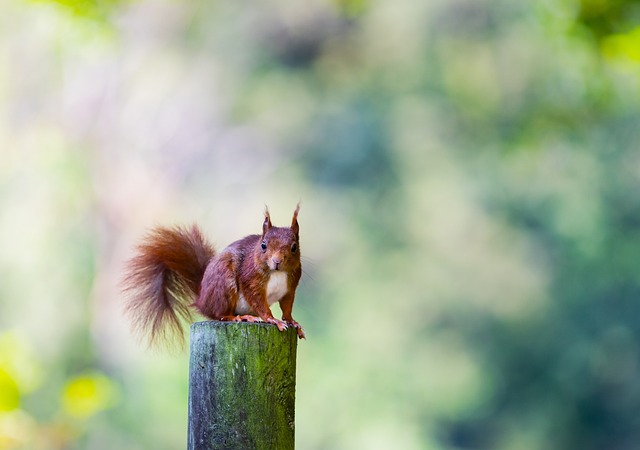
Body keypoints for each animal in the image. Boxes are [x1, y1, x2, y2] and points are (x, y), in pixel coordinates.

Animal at [125, 206, 308, 346]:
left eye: (294, 247)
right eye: (263, 245)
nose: (277, 261)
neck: (277, 273)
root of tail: (203, 299)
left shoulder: (290, 287)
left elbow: (287, 306)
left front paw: (293, 322)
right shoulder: (250, 278)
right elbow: (258, 301)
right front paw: (272, 320)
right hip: (224, 285)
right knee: (221, 314)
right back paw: (241, 317)